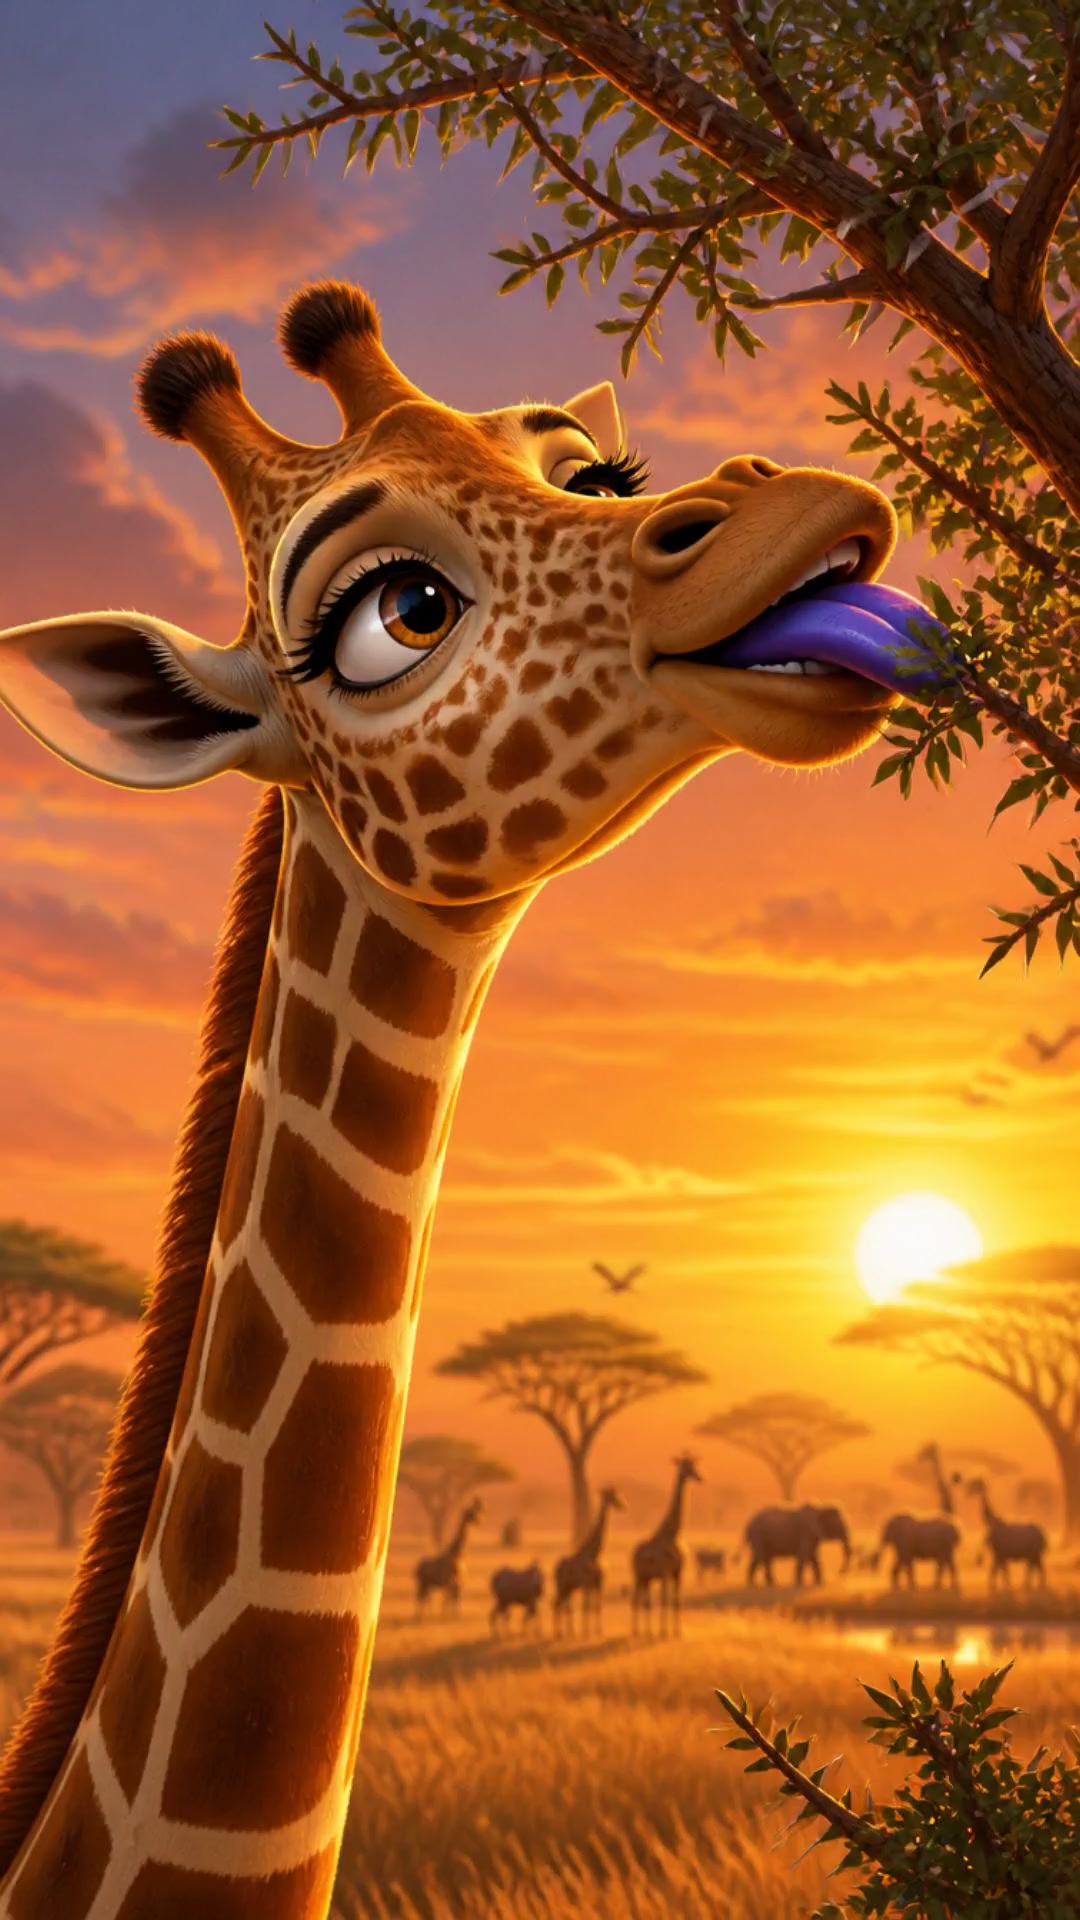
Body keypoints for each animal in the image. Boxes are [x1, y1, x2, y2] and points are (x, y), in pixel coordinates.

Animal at [552, 1485, 623, 1637]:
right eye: (611, 1497)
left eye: (615, 1495)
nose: (622, 1506)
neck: (593, 1555)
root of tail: (556, 1569)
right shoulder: (586, 1584)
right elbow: (586, 1607)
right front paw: (585, 1632)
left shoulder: (598, 1584)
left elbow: (597, 1606)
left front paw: (598, 1631)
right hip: (562, 1586)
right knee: (557, 1604)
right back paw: (560, 1633)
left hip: (569, 1588)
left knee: (561, 1605)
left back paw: (568, 1632)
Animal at [631, 1455, 701, 1634]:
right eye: (685, 1466)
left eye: (693, 1465)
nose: (699, 1477)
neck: (673, 1534)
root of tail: (634, 1552)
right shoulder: (665, 1572)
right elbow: (664, 1600)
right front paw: (663, 1632)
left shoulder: (677, 1572)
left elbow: (676, 1601)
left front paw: (677, 1631)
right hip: (638, 1575)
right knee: (636, 1600)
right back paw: (636, 1631)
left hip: (647, 1578)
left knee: (645, 1602)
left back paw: (645, 1631)